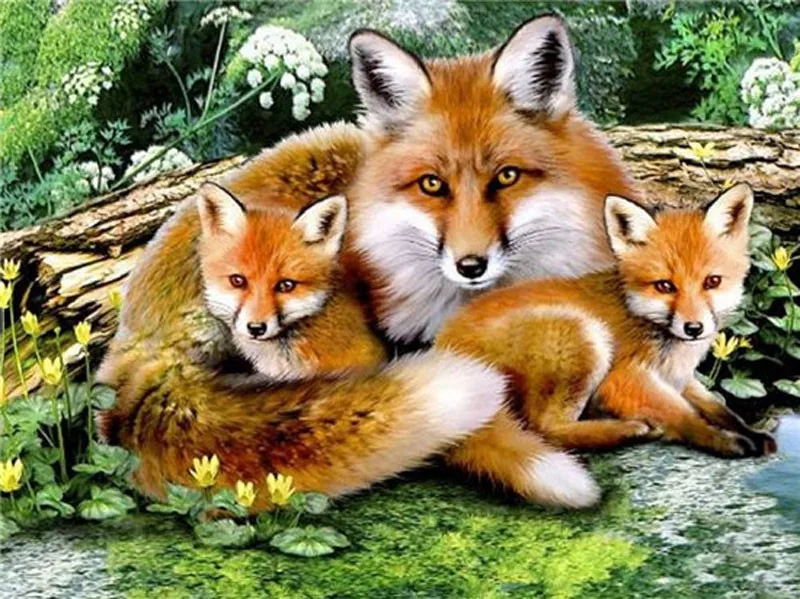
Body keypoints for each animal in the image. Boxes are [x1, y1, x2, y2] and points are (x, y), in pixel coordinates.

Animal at [436, 183, 777, 461]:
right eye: (665, 286)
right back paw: (629, 430)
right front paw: (720, 440)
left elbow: (718, 407)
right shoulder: (623, 379)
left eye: (712, 282)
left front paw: (750, 432)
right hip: (584, 336)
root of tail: (443, 347)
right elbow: (685, 415)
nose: (694, 328)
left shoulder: (679, 379)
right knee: (546, 430)